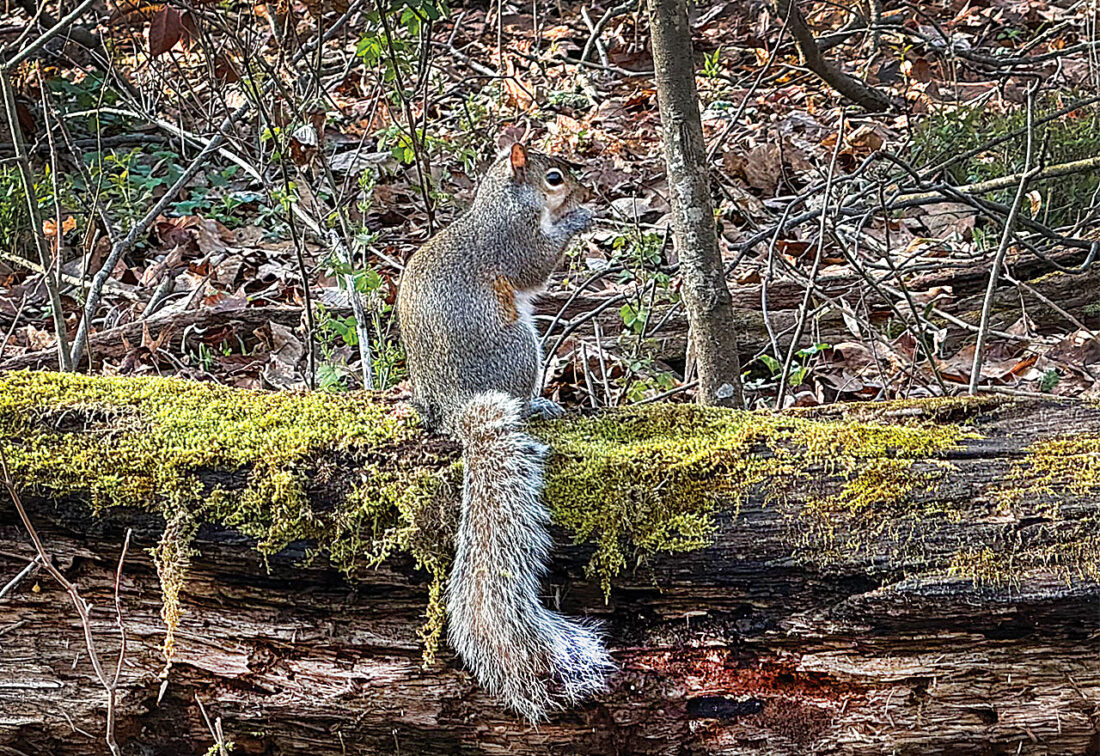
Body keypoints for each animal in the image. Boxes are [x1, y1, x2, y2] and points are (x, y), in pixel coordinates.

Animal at [396, 143, 613, 721]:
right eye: (555, 177)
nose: (589, 192)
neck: (502, 201)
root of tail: (455, 408)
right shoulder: (512, 241)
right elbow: (536, 262)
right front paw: (580, 220)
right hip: (521, 345)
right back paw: (538, 404)